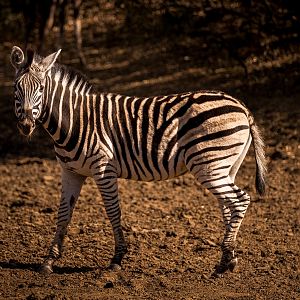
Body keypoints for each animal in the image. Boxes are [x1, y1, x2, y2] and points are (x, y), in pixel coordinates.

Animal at [10, 45, 266, 278]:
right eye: (16, 88)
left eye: (41, 89)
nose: (25, 126)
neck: (75, 120)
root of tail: (240, 105)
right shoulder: (70, 171)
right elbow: (63, 214)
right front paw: (49, 261)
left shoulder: (103, 169)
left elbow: (113, 211)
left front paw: (117, 259)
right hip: (225, 167)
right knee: (229, 205)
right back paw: (228, 259)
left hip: (209, 165)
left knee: (240, 200)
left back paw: (224, 261)